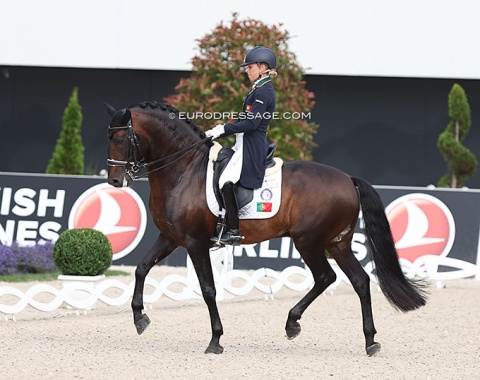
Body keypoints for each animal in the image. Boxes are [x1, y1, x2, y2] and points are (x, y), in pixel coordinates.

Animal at [106, 100, 428, 356]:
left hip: (308, 241)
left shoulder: (195, 243)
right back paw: (369, 341)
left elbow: (208, 289)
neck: (184, 169)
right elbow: (141, 268)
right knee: (360, 280)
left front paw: (215, 340)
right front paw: (139, 318)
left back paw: (293, 323)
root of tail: (348, 178)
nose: (114, 181)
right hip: (337, 243)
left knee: (326, 277)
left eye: (121, 138)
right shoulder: (170, 237)